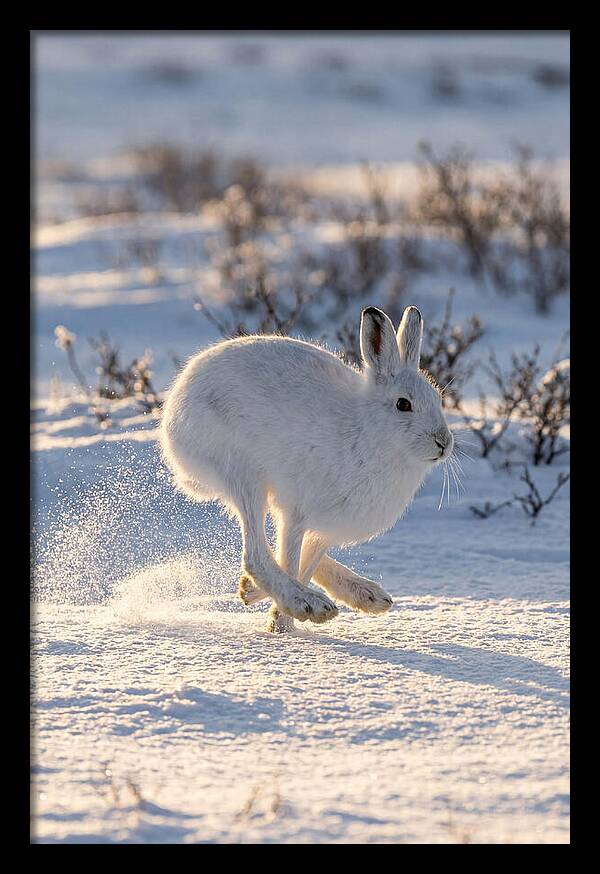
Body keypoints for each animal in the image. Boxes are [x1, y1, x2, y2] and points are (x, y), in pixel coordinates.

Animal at [160, 305, 454, 633]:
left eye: (438, 398)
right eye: (403, 404)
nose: (444, 442)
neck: (369, 433)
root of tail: (173, 411)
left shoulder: (325, 527)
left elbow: (306, 562)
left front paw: (273, 613)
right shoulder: (298, 511)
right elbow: (290, 559)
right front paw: (284, 624)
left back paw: (365, 595)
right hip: (242, 473)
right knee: (256, 554)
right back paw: (307, 602)